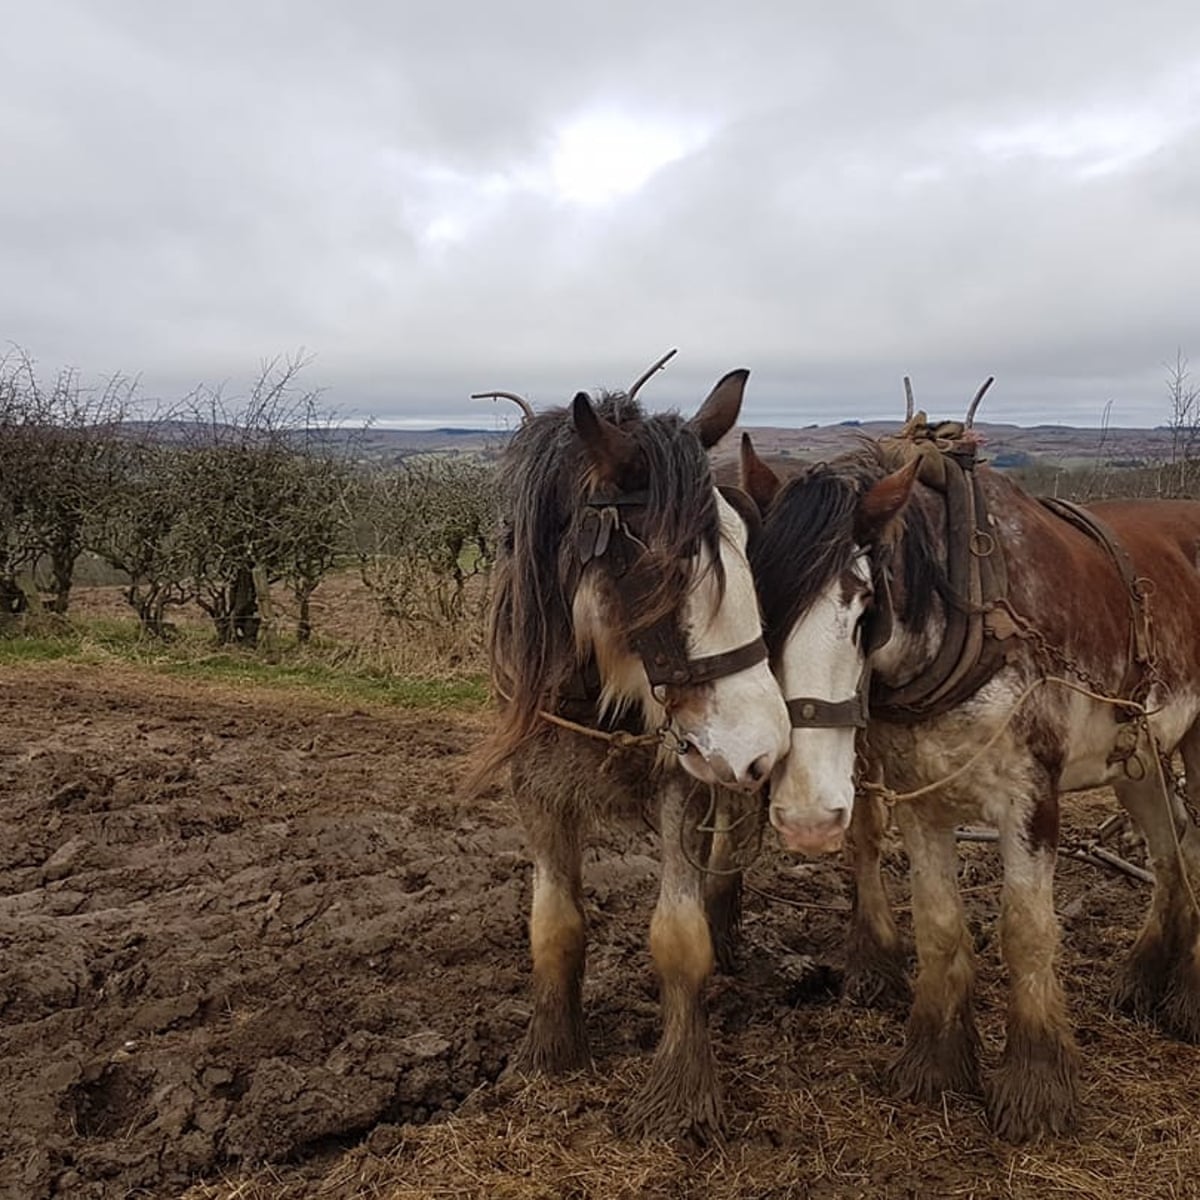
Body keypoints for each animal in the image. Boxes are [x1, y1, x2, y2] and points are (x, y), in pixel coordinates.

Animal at [473, 367, 790, 1140]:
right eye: (664, 568)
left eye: (745, 554)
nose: (764, 746)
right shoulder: (537, 791)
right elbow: (554, 926)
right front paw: (551, 1054)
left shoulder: (685, 779)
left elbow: (678, 937)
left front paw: (679, 1093)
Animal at [739, 419, 1200, 1141]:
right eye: (762, 606)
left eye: (865, 610)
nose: (808, 818)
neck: (972, 608)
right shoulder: (920, 800)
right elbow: (938, 923)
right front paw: (935, 1060)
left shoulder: (1030, 800)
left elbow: (1027, 931)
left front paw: (1037, 1084)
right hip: (1140, 758)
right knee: (1171, 847)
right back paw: (1146, 974)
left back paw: (1186, 1000)